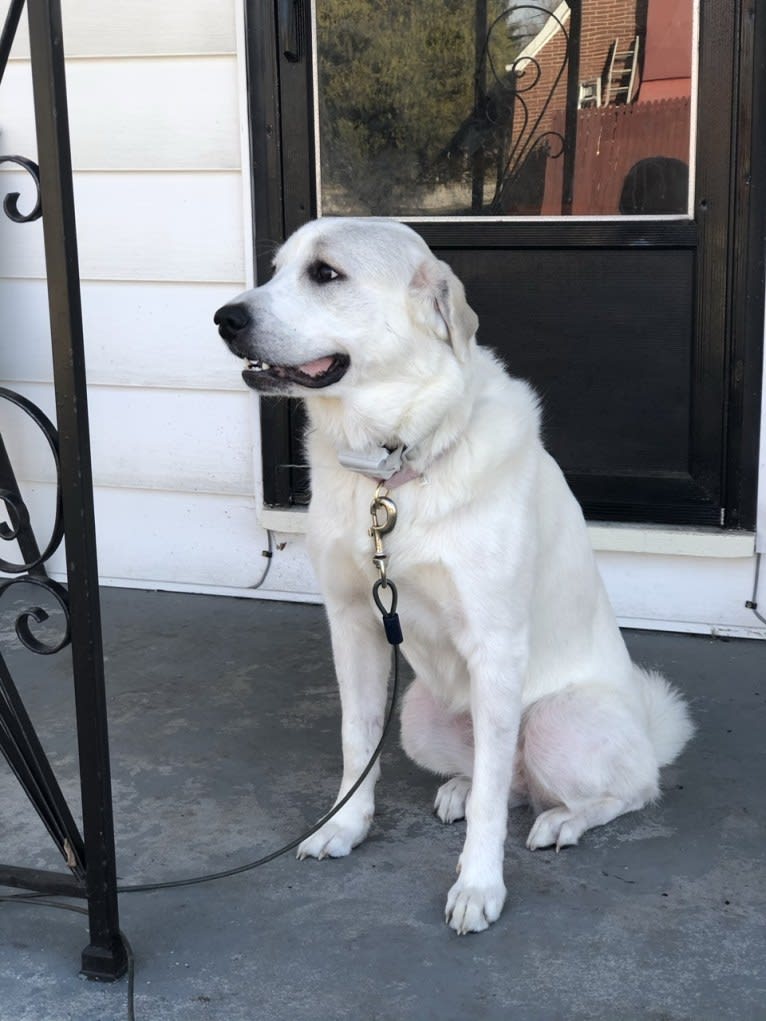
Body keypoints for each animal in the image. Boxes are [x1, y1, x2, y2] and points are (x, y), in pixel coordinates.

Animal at [213, 217, 694, 935]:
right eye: (275, 270)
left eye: (325, 273)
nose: (224, 318)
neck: (390, 472)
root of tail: (645, 727)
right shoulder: (353, 626)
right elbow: (357, 742)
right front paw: (345, 826)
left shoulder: (495, 647)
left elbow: (496, 808)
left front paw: (478, 884)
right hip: (418, 714)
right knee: (507, 781)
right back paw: (462, 789)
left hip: (557, 722)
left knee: (619, 790)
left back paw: (564, 820)